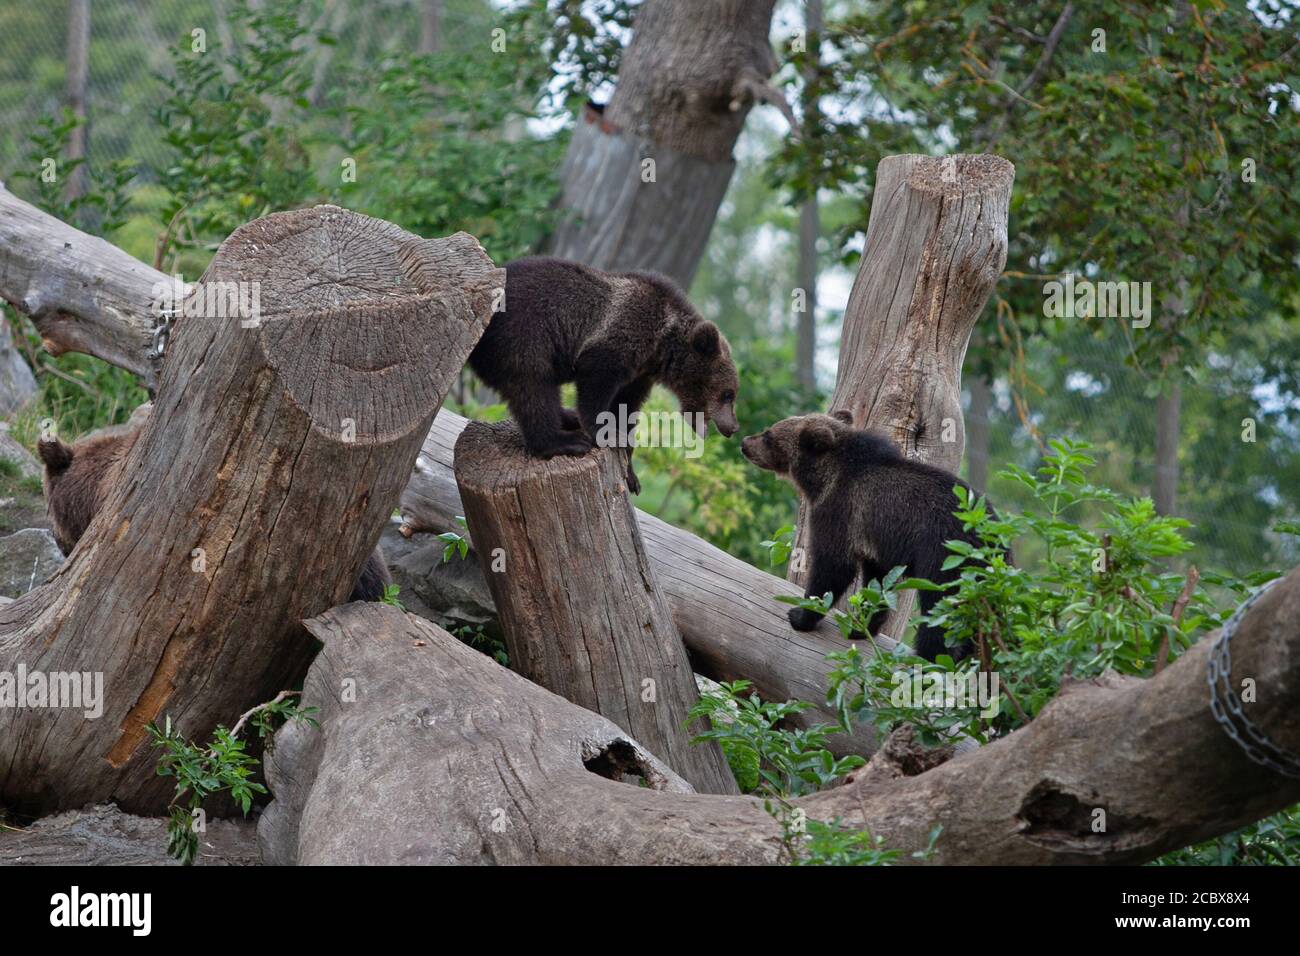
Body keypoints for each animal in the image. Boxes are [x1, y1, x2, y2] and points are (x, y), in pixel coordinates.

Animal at [467, 256, 743, 494]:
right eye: (728, 394)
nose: (733, 427)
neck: (662, 346)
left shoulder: (640, 375)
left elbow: (626, 408)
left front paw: (631, 475)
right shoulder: (619, 338)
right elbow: (597, 383)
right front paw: (605, 432)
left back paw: (568, 418)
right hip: (523, 335)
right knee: (534, 387)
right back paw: (564, 440)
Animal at [743, 408, 993, 660]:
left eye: (768, 435)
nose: (745, 442)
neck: (823, 480)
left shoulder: (840, 513)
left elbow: (833, 567)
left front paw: (800, 616)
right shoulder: (879, 543)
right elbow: (878, 583)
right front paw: (863, 626)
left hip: (947, 555)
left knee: (939, 607)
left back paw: (928, 655)